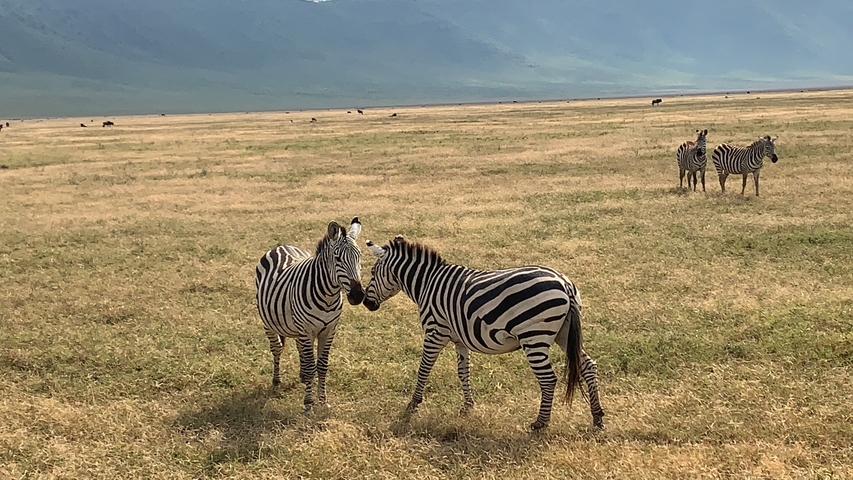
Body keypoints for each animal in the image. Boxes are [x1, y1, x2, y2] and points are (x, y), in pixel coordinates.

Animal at [255, 218, 364, 412]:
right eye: (337, 258)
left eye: (359, 256)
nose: (357, 295)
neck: (328, 297)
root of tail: (282, 246)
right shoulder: (307, 330)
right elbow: (310, 365)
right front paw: (308, 403)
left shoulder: (329, 330)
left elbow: (321, 365)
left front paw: (322, 400)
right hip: (269, 323)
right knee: (276, 348)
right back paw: (276, 381)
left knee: (300, 349)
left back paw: (302, 376)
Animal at [363, 235, 604, 430]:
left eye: (372, 272)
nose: (366, 303)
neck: (427, 283)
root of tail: (564, 283)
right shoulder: (459, 339)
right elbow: (463, 372)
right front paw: (468, 406)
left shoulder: (435, 332)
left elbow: (424, 369)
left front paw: (413, 404)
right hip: (563, 333)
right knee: (588, 366)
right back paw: (598, 417)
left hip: (534, 337)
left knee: (548, 379)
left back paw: (540, 423)